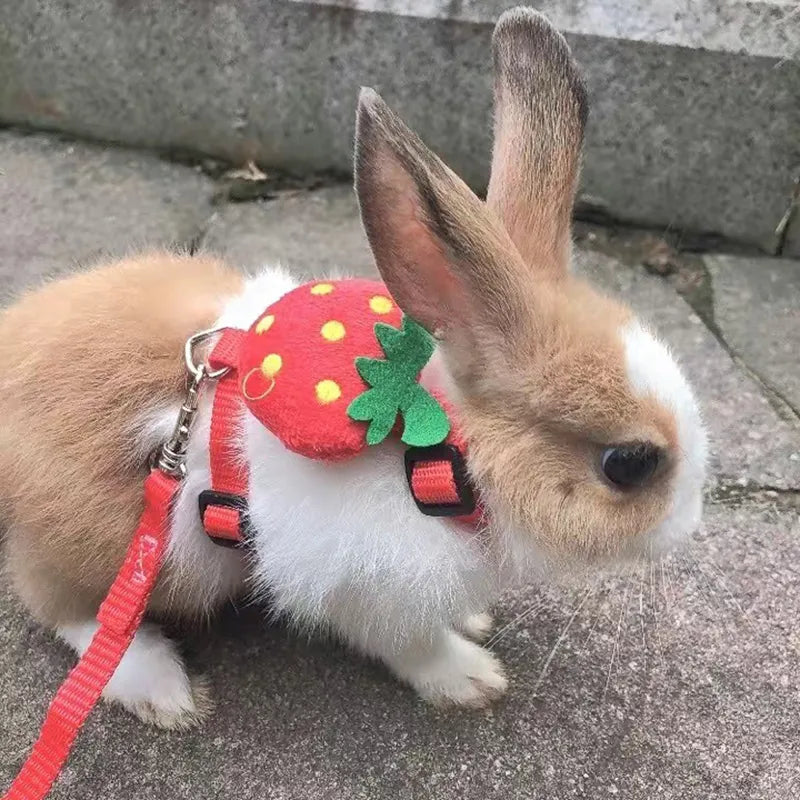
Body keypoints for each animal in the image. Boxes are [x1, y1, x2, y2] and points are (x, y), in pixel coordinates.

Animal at [0, 7, 708, 732]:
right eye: (628, 463)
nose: (689, 523)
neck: (442, 452)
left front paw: (474, 623)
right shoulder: (366, 586)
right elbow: (410, 643)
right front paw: (472, 678)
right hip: (126, 549)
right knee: (63, 608)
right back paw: (161, 687)